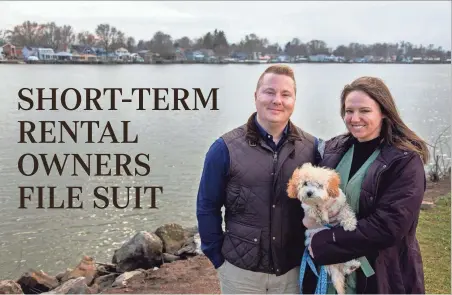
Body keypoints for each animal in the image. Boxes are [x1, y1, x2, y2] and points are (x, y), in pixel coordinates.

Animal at [290, 163, 360, 294]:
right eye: (305, 183)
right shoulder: (308, 208)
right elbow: (313, 209)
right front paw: (321, 215)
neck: (323, 202)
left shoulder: (340, 204)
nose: (309, 193)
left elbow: (346, 212)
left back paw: (352, 265)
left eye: (319, 185)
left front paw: (350, 224)